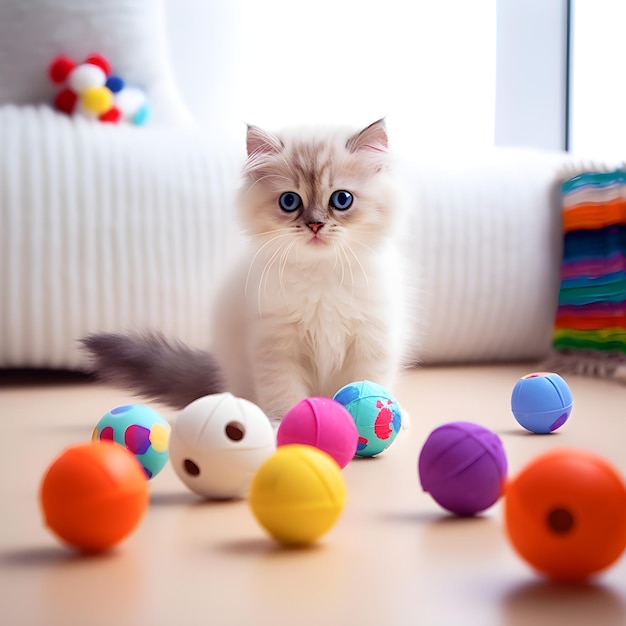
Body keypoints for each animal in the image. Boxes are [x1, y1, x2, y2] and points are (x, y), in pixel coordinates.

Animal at [80, 118, 408, 420]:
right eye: (290, 201)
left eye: (342, 199)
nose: (315, 225)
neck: (320, 275)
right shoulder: (276, 344)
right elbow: (284, 393)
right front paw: (284, 426)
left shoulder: (370, 340)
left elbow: (364, 384)